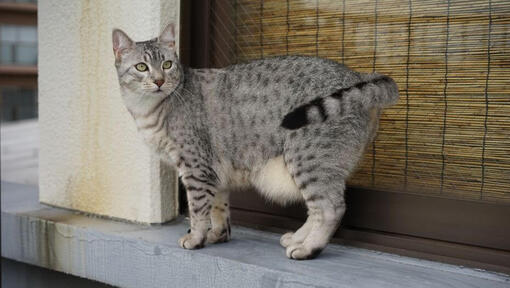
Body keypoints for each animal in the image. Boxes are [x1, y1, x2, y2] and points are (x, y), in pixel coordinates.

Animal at [111, 23, 398, 260]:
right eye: (141, 67)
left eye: (168, 65)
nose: (159, 80)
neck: (148, 110)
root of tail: (356, 74)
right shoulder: (214, 171)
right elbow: (218, 207)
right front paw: (217, 234)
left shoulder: (195, 168)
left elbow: (198, 208)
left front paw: (196, 238)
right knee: (316, 209)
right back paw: (298, 238)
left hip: (307, 157)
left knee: (330, 208)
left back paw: (308, 248)